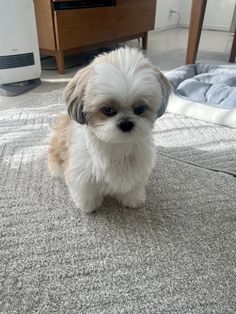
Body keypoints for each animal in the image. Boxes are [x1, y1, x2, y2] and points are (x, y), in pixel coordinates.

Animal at [47, 46, 171, 213]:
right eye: (108, 110)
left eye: (139, 109)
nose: (125, 123)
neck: (117, 146)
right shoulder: (82, 173)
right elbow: (86, 191)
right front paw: (89, 206)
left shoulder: (137, 168)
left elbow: (133, 187)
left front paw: (133, 199)